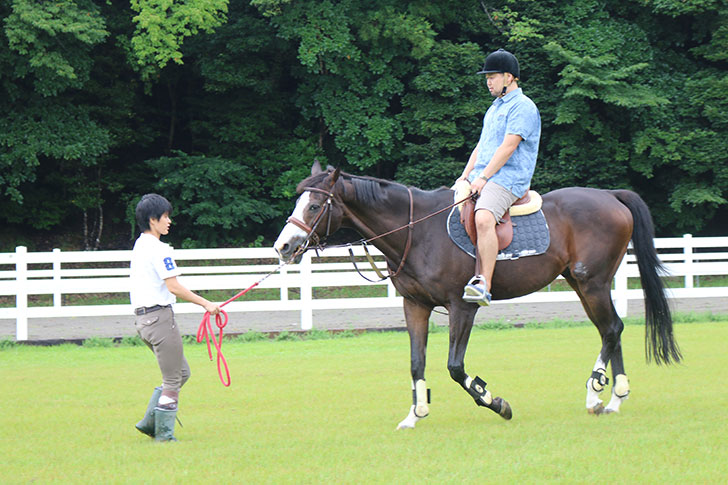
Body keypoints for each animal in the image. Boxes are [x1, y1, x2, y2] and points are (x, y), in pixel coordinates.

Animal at [274, 162, 684, 428]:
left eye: (314, 205)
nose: (283, 246)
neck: (417, 231)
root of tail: (611, 196)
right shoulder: (415, 305)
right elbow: (416, 362)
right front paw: (415, 414)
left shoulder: (462, 307)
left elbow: (456, 367)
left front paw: (495, 402)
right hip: (583, 283)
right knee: (611, 330)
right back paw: (613, 398)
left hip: (592, 283)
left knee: (611, 329)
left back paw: (594, 393)